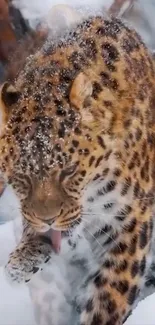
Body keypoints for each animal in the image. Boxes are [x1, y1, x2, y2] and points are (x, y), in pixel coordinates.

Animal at [0, 14, 155, 324]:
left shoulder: (131, 221)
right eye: (22, 177)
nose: (48, 219)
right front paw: (21, 261)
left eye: (69, 171)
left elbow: (111, 294)